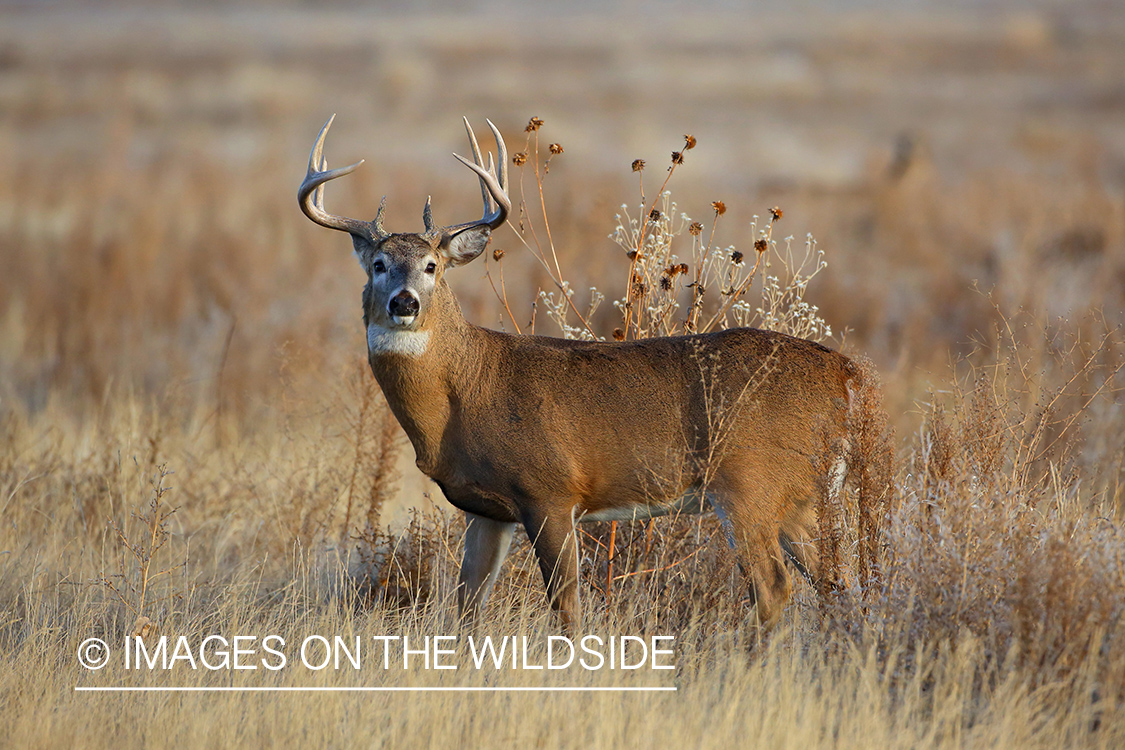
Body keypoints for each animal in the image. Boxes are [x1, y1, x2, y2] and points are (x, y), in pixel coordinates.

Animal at [298, 115, 859, 632]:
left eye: (432, 266)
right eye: (379, 264)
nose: (404, 302)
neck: (465, 391)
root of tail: (843, 374)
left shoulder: (551, 490)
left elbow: (566, 607)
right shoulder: (487, 510)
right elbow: (467, 607)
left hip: (750, 482)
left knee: (775, 586)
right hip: (802, 497)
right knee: (841, 583)